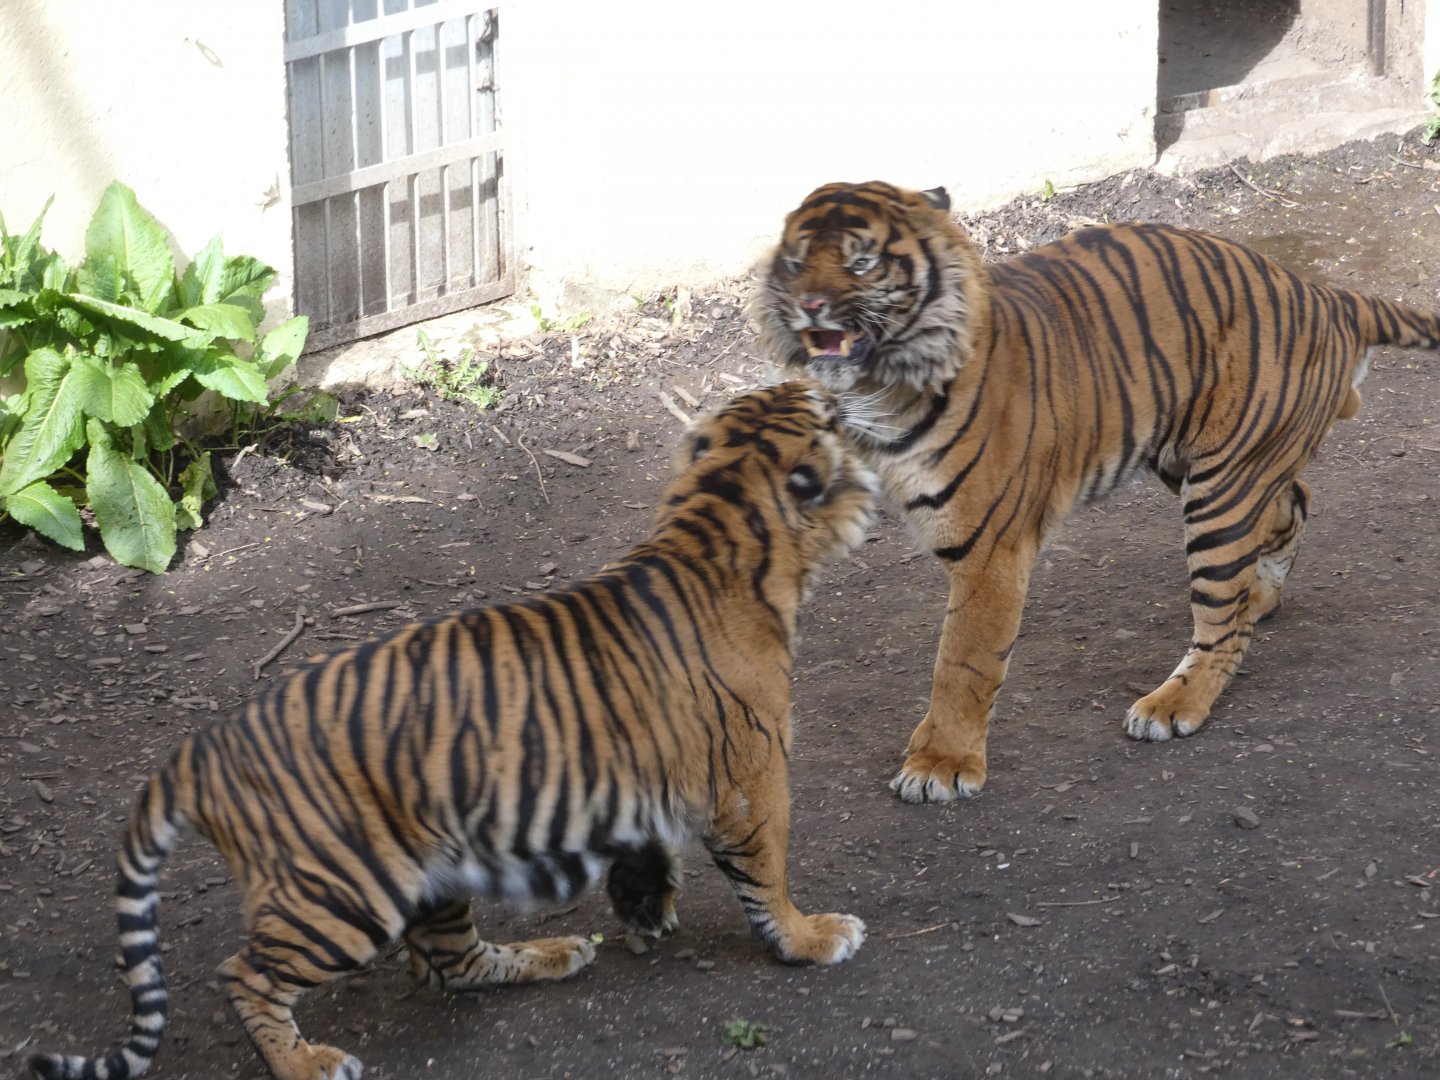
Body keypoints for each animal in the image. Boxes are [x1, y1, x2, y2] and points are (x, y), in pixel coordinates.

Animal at [28, 381, 876, 1080]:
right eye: (827, 416)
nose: (836, 383)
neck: (722, 516)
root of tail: (202, 747)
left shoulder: (645, 766)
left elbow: (649, 843)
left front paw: (645, 907)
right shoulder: (752, 774)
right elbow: (766, 871)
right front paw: (810, 938)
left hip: (430, 872)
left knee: (447, 962)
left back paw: (557, 953)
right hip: (343, 893)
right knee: (247, 974)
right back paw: (308, 1063)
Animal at [752, 180, 1440, 804]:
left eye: (861, 262)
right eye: (794, 260)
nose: (809, 305)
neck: (882, 386)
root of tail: (1326, 293)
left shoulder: (990, 553)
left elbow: (963, 663)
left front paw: (940, 765)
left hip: (1218, 491)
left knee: (1223, 623)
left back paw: (1175, 703)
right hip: (1197, 460)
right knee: (1290, 506)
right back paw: (1259, 599)